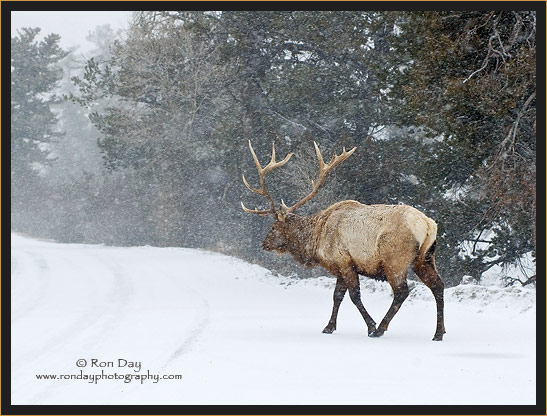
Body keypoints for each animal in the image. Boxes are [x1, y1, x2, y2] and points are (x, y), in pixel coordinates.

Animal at [243, 141, 446, 340]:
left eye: (273, 227)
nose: (264, 243)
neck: (316, 238)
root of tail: (428, 225)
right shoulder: (338, 266)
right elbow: (337, 296)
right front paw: (329, 327)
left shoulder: (344, 261)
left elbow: (354, 296)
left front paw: (370, 326)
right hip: (425, 259)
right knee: (438, 285)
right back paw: (438, 333)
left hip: (395, 260)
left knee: (401, 292)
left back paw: (381, 329)